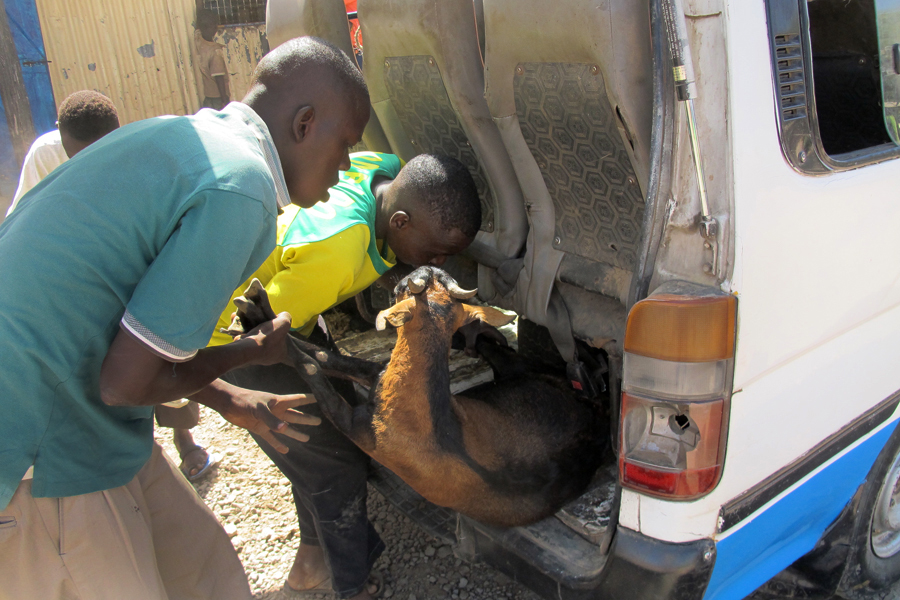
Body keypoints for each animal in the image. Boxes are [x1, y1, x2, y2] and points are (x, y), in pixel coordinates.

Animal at [227, 270, 604, 528]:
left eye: (406, 286)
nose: (403, 272)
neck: (428, 416)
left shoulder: (358, 427)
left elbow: (311, 365)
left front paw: (265, 334)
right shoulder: (378, 377)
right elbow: (325, 356)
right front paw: (258, 318)